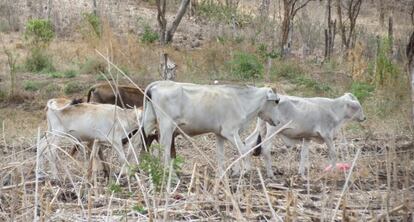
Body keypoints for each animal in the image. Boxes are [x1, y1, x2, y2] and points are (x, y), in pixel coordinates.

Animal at [141, 80, 280, 176]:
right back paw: (171, 174)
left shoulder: (220, 135)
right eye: (276, 101)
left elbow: (220, 154)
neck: (242, 101)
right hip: (167, 126)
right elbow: (244, 150)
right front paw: (245, 170)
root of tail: (159, 84)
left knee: (143, 141)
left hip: (149, 122)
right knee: (164, 147)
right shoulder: (230, 132)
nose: (278, 121)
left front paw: (222, 174)